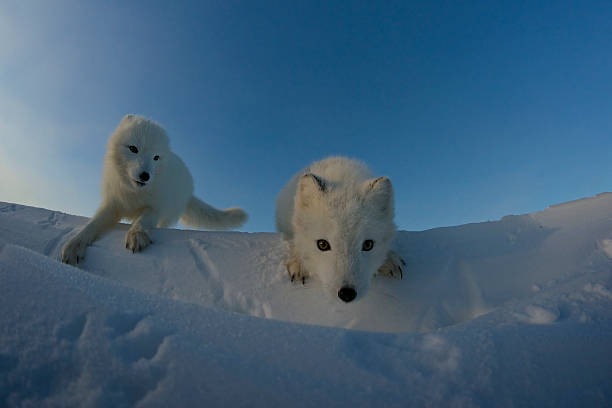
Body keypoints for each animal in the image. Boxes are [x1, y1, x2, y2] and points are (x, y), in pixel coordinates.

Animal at [59, 115, 246, 266]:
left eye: (156, 157)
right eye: (133, 149)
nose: (145, 176)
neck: (134, 193)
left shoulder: (156, 207)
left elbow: (142, 220)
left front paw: (136, 236)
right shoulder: (112, 205)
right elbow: (91, 226)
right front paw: (74, 245)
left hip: (169, 213)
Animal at [274, 156, 404, 302]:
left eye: (368, 245)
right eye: (322, 244)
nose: (347, 294)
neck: (344, 176)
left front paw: (388, 259)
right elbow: (294, 241)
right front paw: (300, 262)